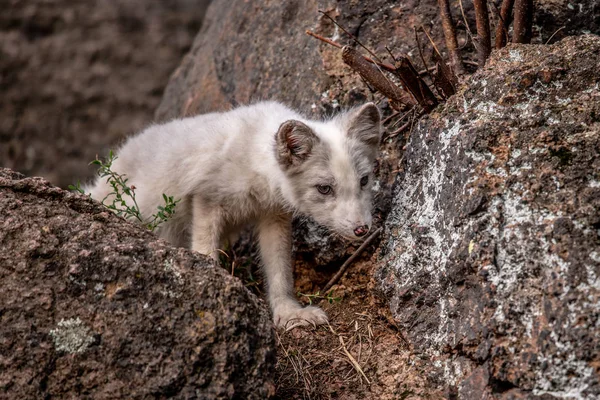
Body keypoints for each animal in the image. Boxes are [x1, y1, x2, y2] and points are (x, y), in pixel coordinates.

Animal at [89, 101, 380, 330]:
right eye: (324, 188)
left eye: (364, 180)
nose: (362, 230)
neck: (254, 158)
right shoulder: (206, 199)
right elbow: (205, 252)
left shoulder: (273, 215)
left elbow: (279, 272)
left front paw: (289, 314)